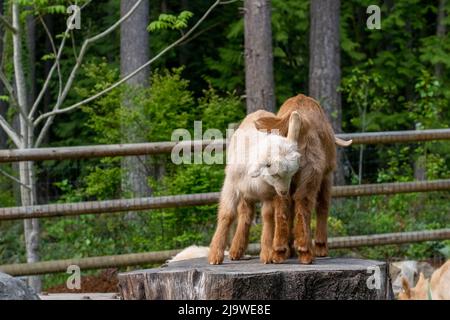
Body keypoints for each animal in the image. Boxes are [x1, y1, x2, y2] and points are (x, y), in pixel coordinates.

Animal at [208, 110, 300, 264]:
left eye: (292, 174)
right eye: (274, 174)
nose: (284, 192)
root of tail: (260, 111)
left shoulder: (269, 194)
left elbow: (268, 217)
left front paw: (267, 254)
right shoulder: (230, 185)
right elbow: (227, 214)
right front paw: (215, 255)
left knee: (248, 214)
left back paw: (238, 249)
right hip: (245, 193)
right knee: (245, 214)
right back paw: (235, 251)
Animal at [255, 94, 350, 264]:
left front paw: (288, 250)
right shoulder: (327, 175)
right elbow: (323, 205)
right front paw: (321, 248)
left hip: (279, 179)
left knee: (283, 202)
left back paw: (279, 252)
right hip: (312, 171)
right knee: (304, 201)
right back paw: (305, 252)